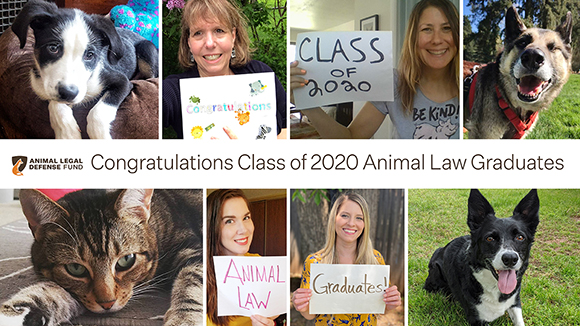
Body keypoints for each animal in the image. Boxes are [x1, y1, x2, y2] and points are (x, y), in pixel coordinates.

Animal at [0, 188, 204, 326]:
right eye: (76, 269)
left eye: (126, 260)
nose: (108, 303)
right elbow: (44, 294)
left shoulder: (192, 249)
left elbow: (192, 282)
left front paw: (185, 318)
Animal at [13, 0, 159, 139]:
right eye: (53, 48)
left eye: (90, 55)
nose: (69, 93)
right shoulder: (42, 87)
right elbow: (55, 102)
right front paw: (67, 133)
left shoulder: (122, 82)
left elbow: (97, 112)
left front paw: (100, 136)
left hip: (146, 50)